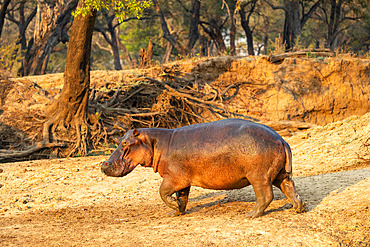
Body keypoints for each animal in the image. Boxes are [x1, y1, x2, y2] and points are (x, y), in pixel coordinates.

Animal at [101, 118, 304, 217]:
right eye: (119, 140)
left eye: (125, 143)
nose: (104, 164)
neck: (155, 143)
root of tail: (281, 139)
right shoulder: (183, 181)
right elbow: (182, 197)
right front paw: (175, 212)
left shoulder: (173, 177)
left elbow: (162, 192)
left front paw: (172, 207)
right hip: (279, 174)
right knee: (289, 187)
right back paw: (297, 208)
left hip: (259, 176)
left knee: (265, 196)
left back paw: (250, 215)